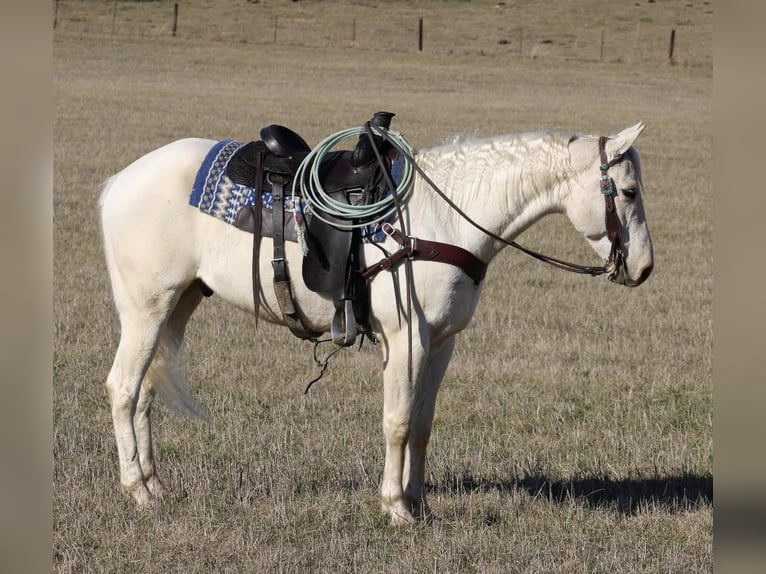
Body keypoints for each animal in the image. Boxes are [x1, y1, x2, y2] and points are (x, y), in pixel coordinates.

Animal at [100, 122, 656, 528]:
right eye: (628, 191)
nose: (644, 268)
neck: (440, 219)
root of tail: (117, 183)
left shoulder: (441, 342)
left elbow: (424, 424)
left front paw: (420, 503)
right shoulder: (406, 338)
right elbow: (398, 421)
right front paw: (395, 508)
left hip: (177, 305)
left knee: (145, 391)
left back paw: (154, 484)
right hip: (146, 310)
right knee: (123, 388)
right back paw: (137, 492)